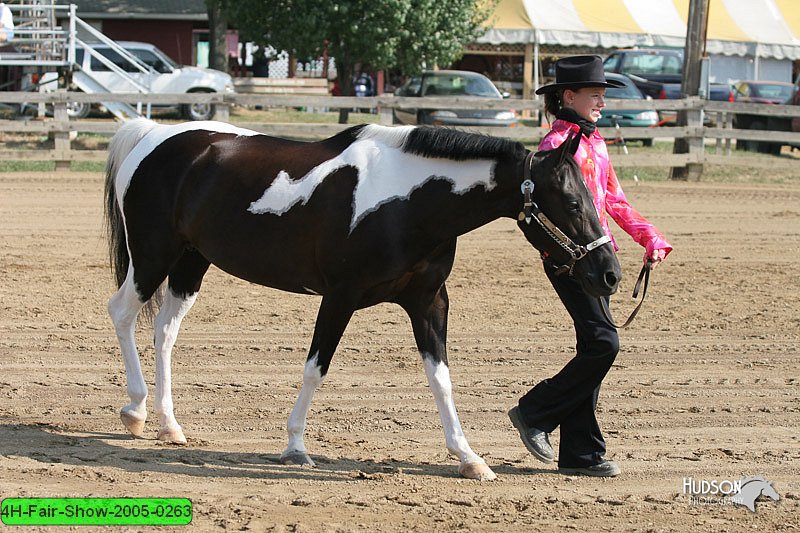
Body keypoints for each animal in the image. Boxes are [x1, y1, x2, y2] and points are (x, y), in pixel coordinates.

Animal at [103, 118, 620, 480]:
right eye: (573, 203)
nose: (609, 274)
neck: (407, 203)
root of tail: (152, 134)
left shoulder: (429, 303)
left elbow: (442, 379)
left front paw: (469, 457)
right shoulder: (339, 296)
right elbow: (316, 368)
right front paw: (295, 447)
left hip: (191, 263)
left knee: (165, 331)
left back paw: (169, 424)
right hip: (152, 256)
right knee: (122, 313)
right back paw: (135, 410)